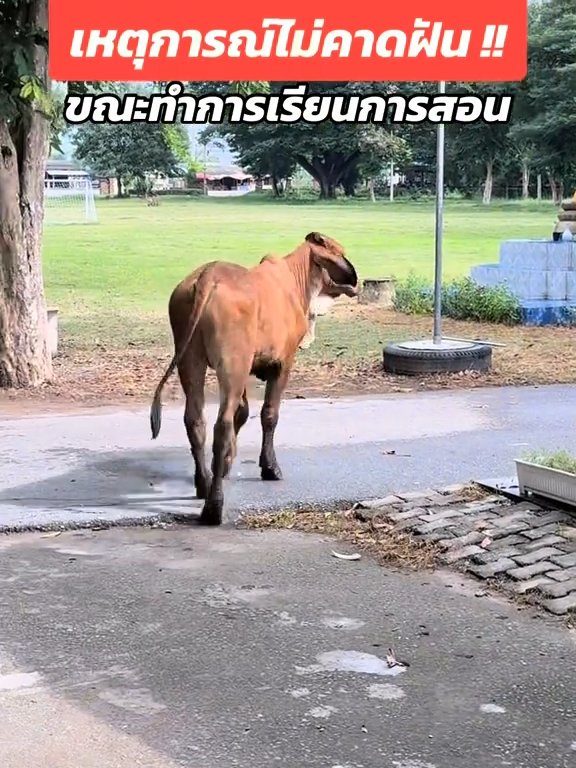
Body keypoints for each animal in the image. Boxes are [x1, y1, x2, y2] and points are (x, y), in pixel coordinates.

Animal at [150, 231, 356, 524]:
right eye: (339, 252)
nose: (355, 279)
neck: (296, 279)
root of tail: (207, 276)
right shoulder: (283, 363)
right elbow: (268, 415)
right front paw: (270, 467)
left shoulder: (248, 366)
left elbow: (244, 411)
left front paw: (227, 463)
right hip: (232, 362)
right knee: (221, 425)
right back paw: (214, 506)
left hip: (191, 359)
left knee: (195, 420)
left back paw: (204, 482)